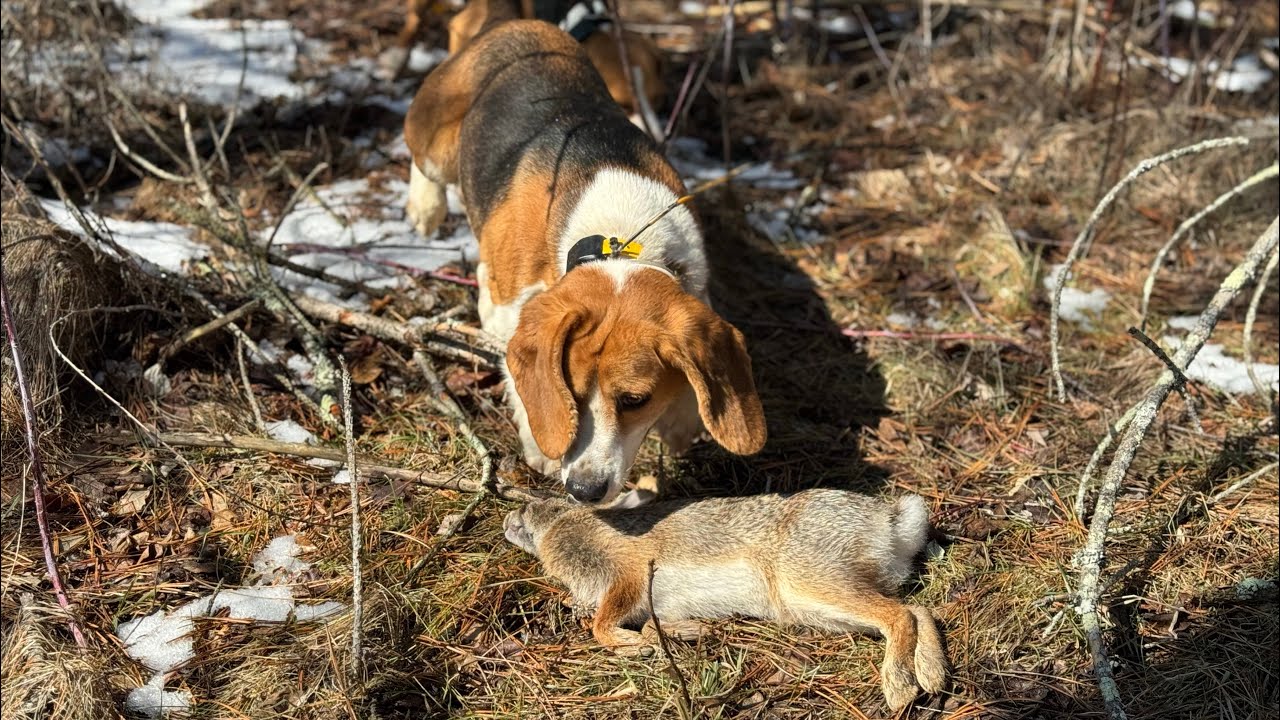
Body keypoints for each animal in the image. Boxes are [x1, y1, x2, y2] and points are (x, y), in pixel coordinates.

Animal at [504, 488, 948, 711]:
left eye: (534, 505)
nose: (508, 521)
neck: (562, 526)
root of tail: (889, 521)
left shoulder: (628, 573)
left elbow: (601, 626)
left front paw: (634, 646)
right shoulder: (655, 603)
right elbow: (649, 623)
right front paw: (685, 633)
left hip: (807, 582)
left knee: (899, 616)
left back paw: (900, 688)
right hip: (813, 604)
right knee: (918, 609)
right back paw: (932, 674)